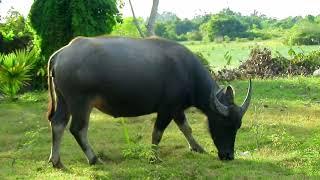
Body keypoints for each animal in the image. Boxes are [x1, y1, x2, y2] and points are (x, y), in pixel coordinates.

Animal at [47, 35, 252, 168]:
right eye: (223, 123)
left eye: (238, 126)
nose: (228, 155)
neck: (187, 73)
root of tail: (60, 54)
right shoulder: (167, 109)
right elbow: (158, 133)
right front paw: (154, 157)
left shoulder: (177, 109)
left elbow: (186, 128)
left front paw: (197, 147)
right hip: (80, 103)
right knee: (78, 129)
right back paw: (94, 159)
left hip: (64, 100)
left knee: (57, 123)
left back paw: (56, 161)